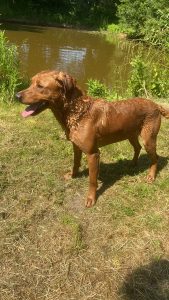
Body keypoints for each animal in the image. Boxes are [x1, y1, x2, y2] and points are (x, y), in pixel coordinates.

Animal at [16, 70, 169, 207]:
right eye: (31, 83)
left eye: (40, 86)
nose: (17, 95)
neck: (77, 111)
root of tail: (157, 105)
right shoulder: (76, 146)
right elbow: (75, 163)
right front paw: (73, 175)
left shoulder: (93, 153)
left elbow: (92, 180)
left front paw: (91, 198)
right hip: (130, 134)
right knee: (137, 148)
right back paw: (132, 163)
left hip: (148, 139)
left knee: (155, 158)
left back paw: (151, 176)